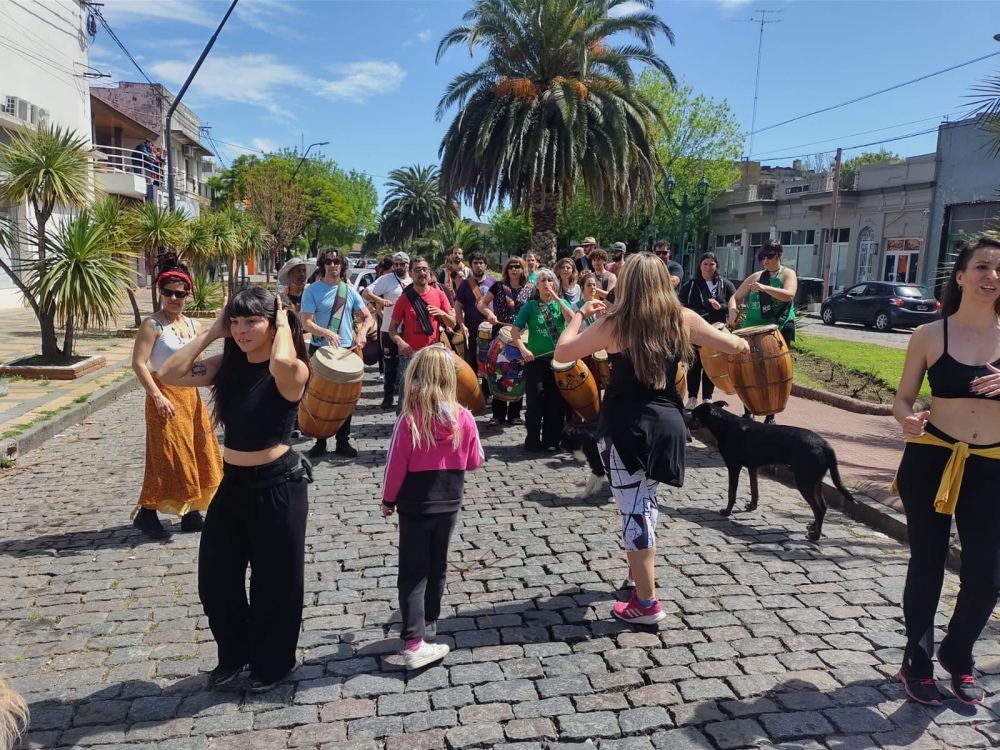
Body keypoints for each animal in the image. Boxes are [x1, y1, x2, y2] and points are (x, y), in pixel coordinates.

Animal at [692, 402, 856, 544]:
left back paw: (815, 536)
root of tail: (825, 445)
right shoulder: (752, 467)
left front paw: (727, 511)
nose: (687, 420)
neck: (725, 425)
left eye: (694, 415)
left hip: (804, 481)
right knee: (822, 507)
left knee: (819, 509)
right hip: (814, 482)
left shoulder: (734, 467)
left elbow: (732, 493)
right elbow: (754, 489)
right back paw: (813, 528)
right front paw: (752, 506)